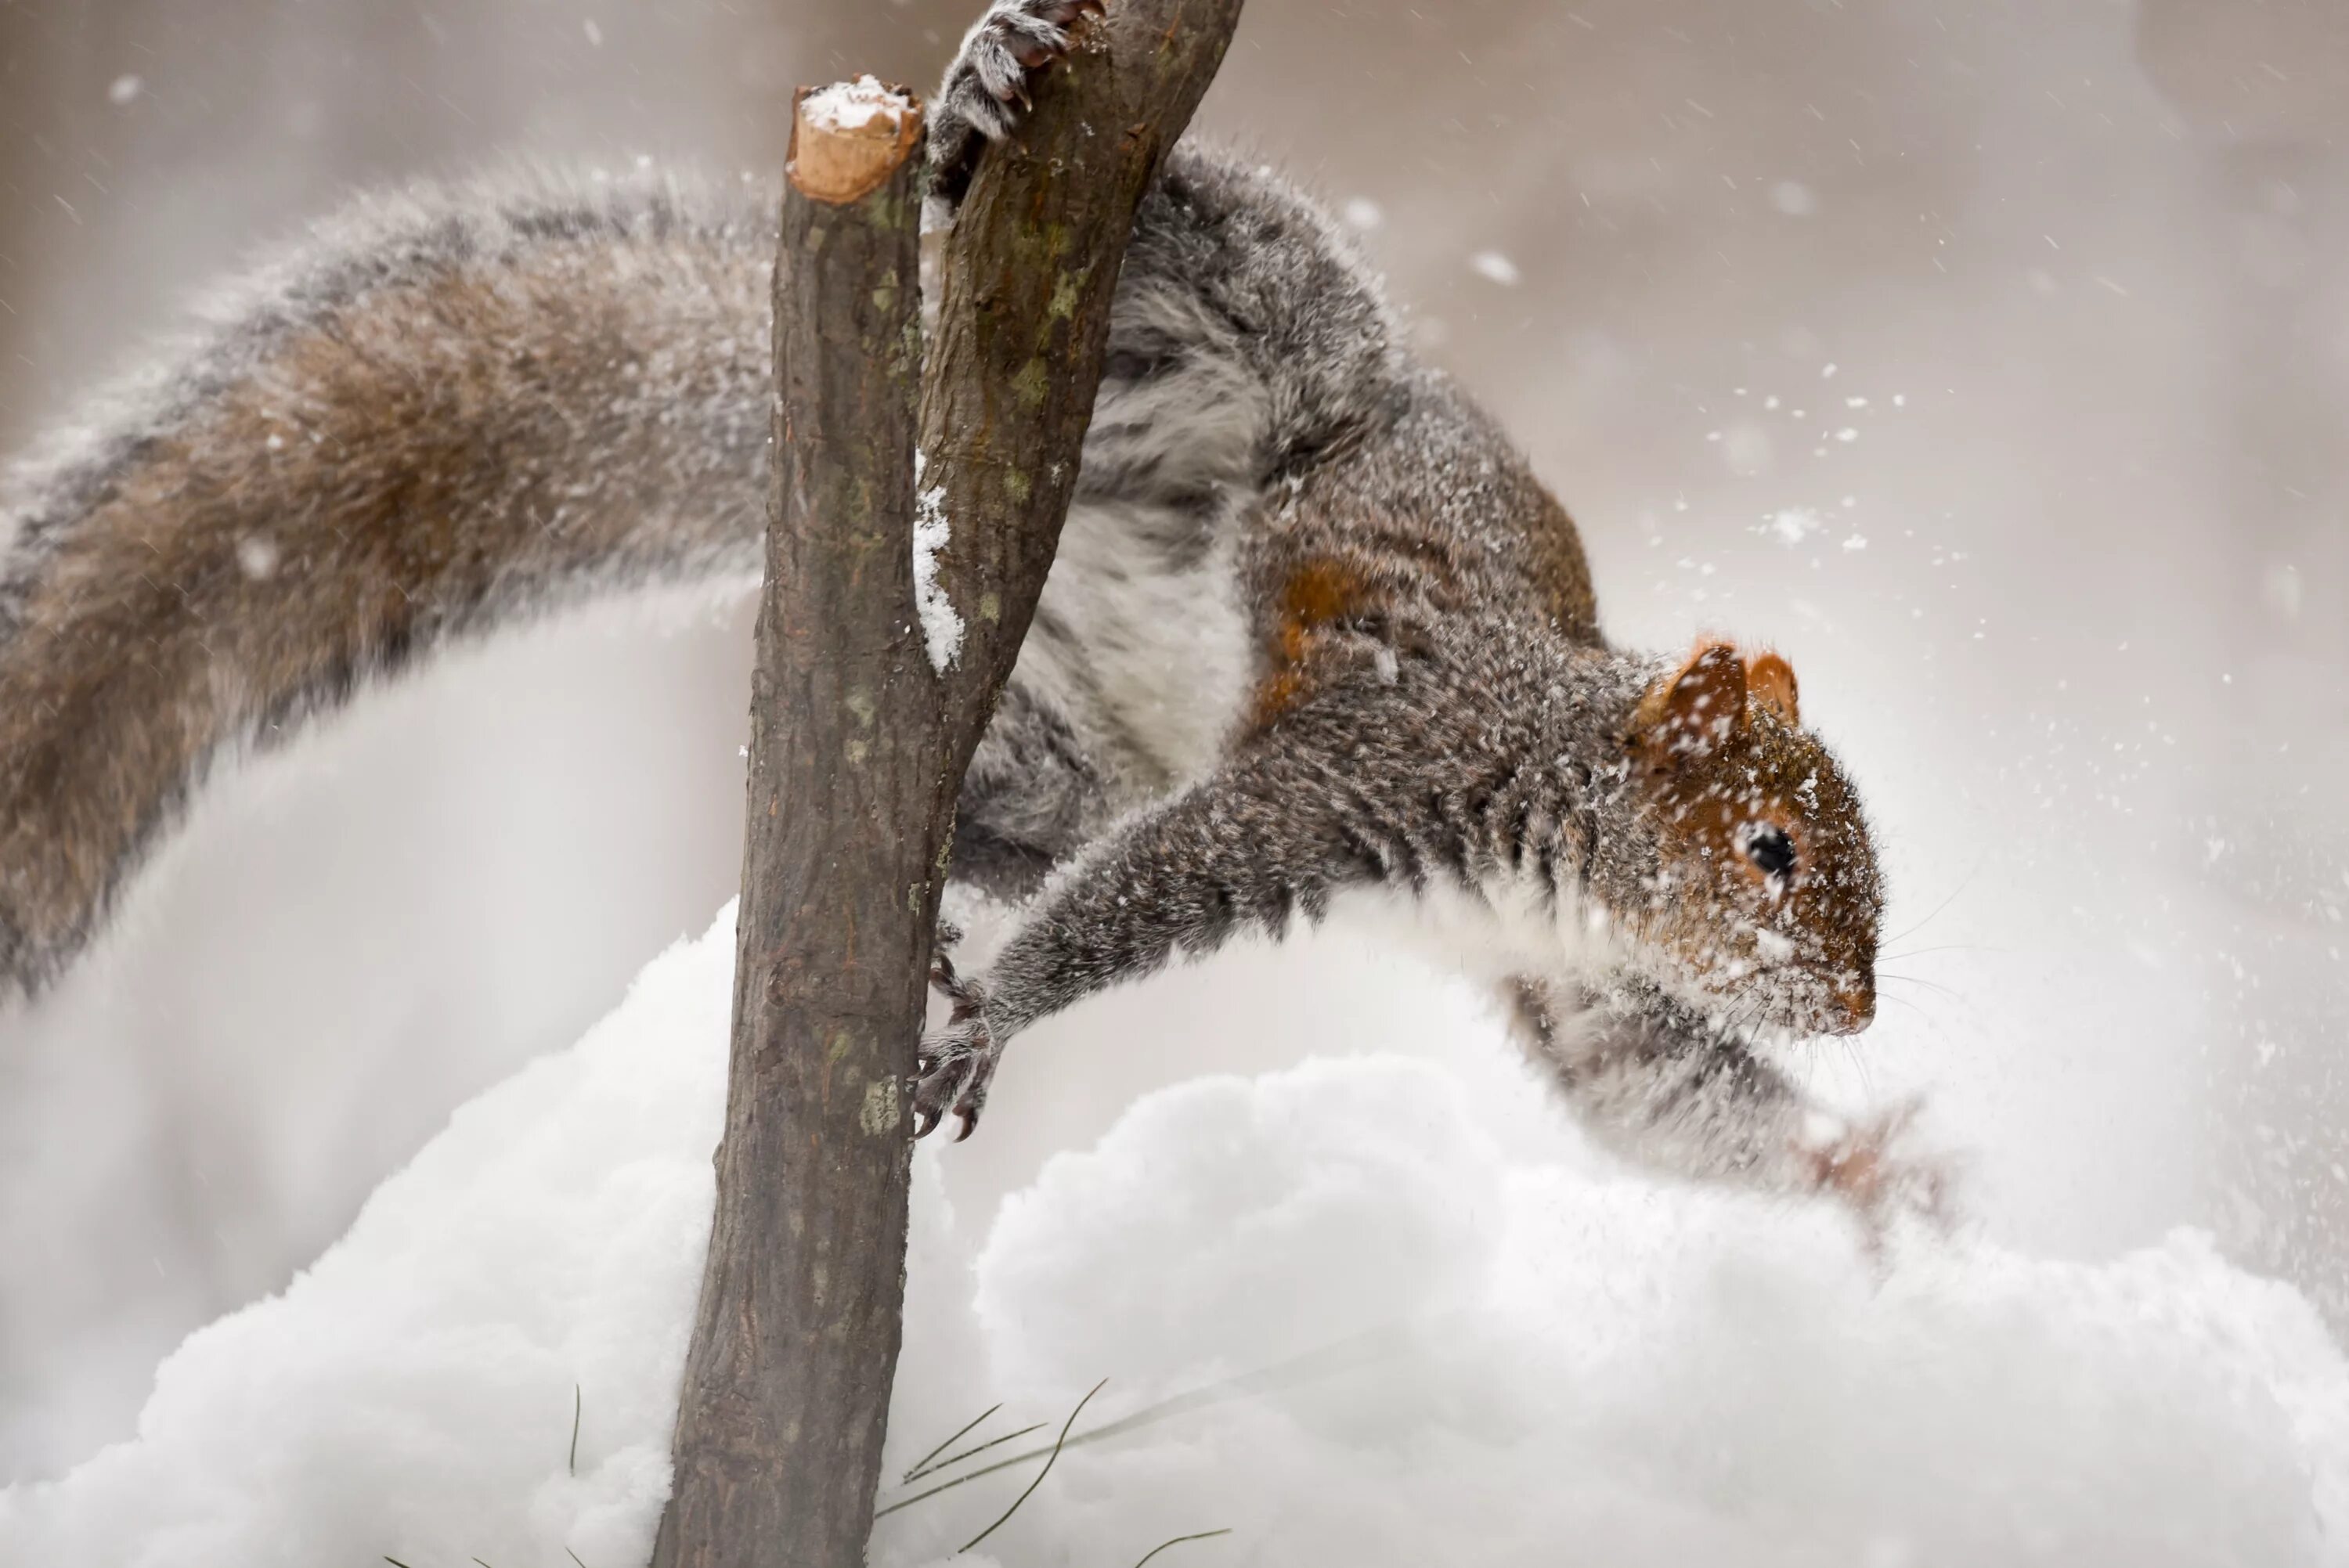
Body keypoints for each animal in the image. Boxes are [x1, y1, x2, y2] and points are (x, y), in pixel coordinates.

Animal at [0, 0, 1945, 1220]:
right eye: (1773, 845)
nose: (1856, 1005)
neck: (1555, 801)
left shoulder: (1575, 978)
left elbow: (1657, 1096)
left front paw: (1866, 1166)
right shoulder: (1372, 762)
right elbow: (1156, 891)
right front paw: (1006, 1008)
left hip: (1069, 730)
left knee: (1050, 812)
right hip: (1261, 342)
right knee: (1209, 242)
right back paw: (974, 95)